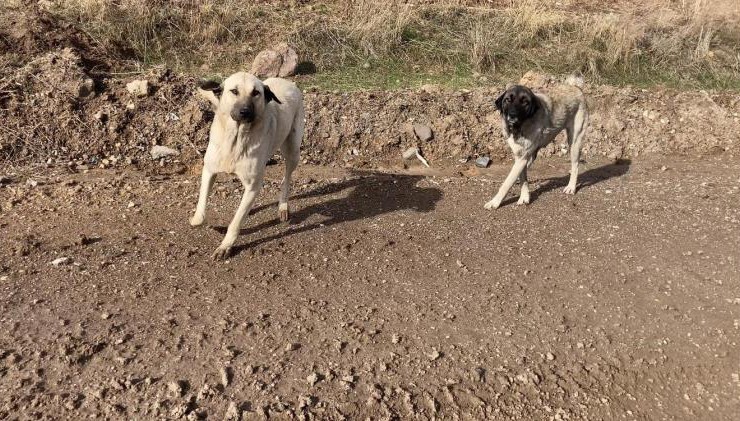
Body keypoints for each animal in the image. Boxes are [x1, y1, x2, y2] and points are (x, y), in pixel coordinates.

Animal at [194, 73, 306, 260]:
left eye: (256, 93)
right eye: (234, 91)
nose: (245, 112)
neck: (236, 138)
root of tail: (288, 82)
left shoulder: (253, 185)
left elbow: (236, 221)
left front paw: (225, 246)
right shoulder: (209, 171)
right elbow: (201, 209)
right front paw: (198, 220)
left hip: (293, 151)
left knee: (287, 178)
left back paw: (283, 205)